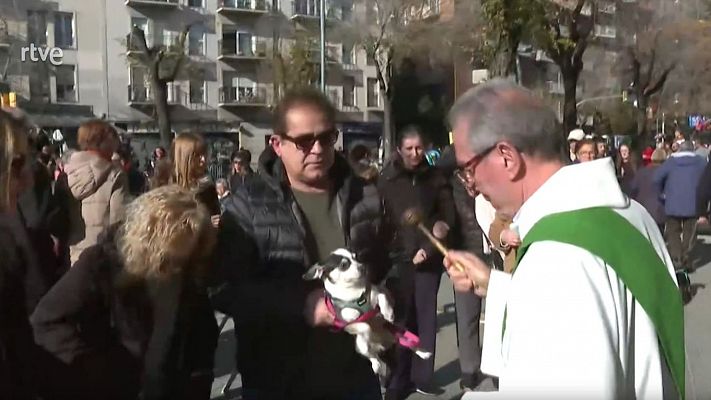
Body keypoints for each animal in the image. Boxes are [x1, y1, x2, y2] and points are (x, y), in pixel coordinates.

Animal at [304, 248, 432, 376]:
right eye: (344, 265)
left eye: (356, 257)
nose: (362, 267)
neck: (354, 292)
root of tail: (382, 345)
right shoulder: (348, 323)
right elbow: (364, 325)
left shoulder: (376, 292)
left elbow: (382, 297)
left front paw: (388, 313)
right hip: (360, 347)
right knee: (371, 355)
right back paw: (376, 364)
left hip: (397, 331)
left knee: (408, 343)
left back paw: (423, 352)